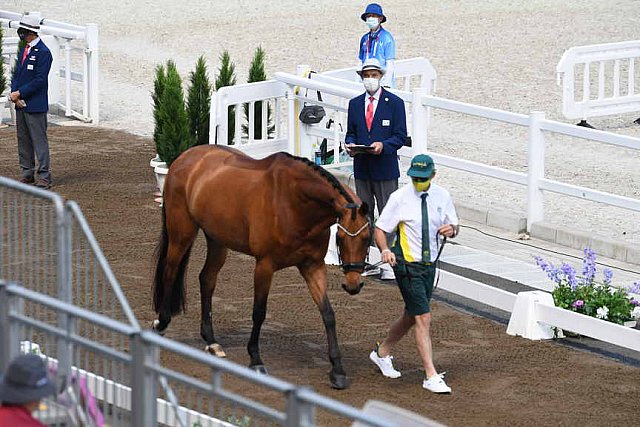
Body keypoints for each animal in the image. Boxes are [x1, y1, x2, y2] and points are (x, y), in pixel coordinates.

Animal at [152, 145, 370, 390]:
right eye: (340, 238)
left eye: (367, 239)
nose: (353, 284)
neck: (293, 202)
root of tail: (185, 157)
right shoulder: (264, 266)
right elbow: (259, 312)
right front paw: (255, 360)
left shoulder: (312, 266)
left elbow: (328, 314)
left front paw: (338, 370)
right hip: (182, 233)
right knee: (170, 271)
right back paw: (162, 322)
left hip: (217, 240)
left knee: (207, 279)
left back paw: (211, 341)